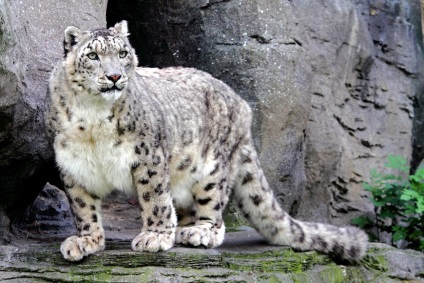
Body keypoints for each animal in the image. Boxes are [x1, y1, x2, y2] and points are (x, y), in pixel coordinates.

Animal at [44, 21, 368, 262]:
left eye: (123, 53)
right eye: (93, 56)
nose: (114, 76)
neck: (93, 117)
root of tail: (242, 105)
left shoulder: (148, 156)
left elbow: (154, 199)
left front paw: (155, 236)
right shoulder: (74, 165)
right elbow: (83, 207)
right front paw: (86, 240)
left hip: (212, 169)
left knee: (214, 209)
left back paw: (200, 232)